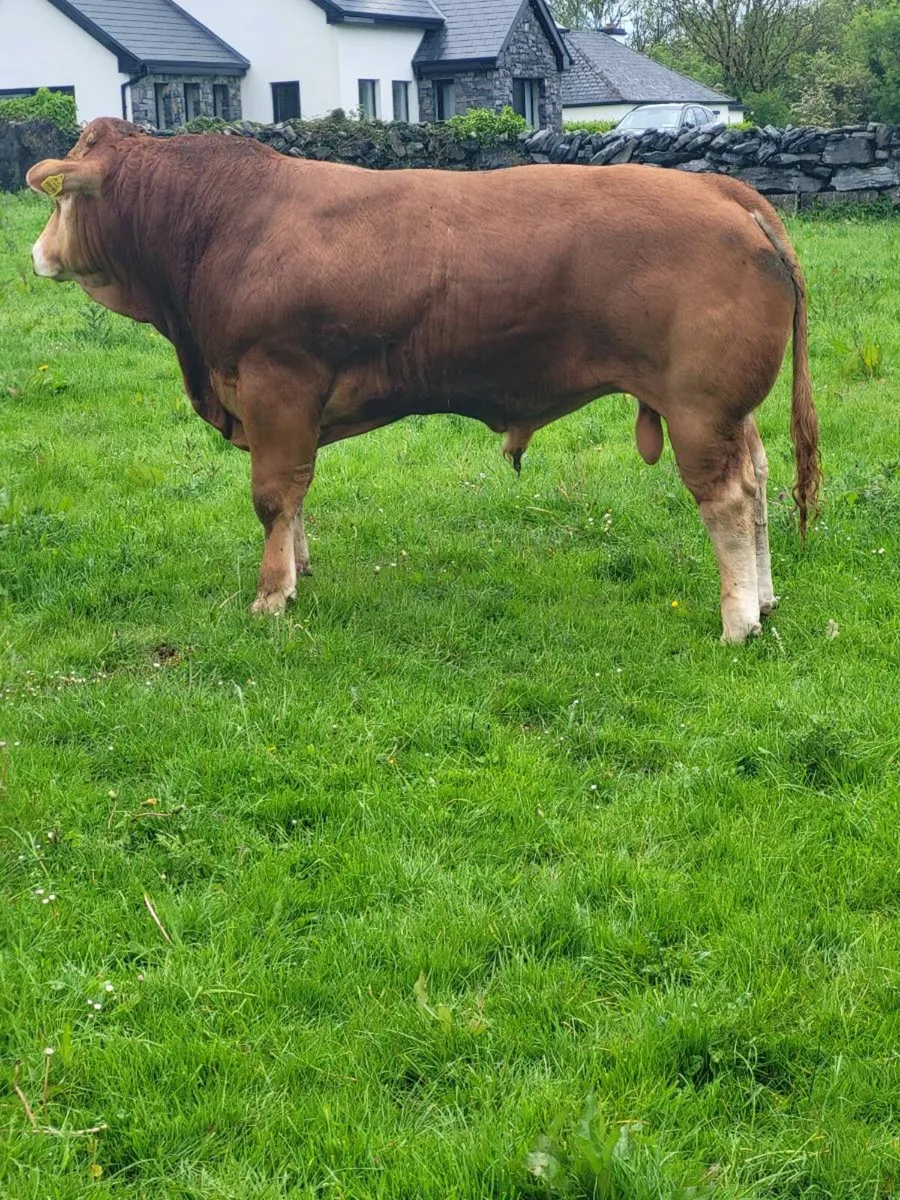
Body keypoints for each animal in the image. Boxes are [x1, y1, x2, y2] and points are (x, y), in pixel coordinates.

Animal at [27, 118, 820, 642]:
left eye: (60, 199)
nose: (35, 254)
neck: (221, 223)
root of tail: (720, 190)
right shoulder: (286, 408)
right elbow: (297, 492)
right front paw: (300, 569)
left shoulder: (274, 382)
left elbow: (273, 494)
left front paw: (271, 596)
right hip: (733, 410)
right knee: (758, 480)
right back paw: (768, 599)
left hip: (698, 407)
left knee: (726, 498)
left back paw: (739, 620)